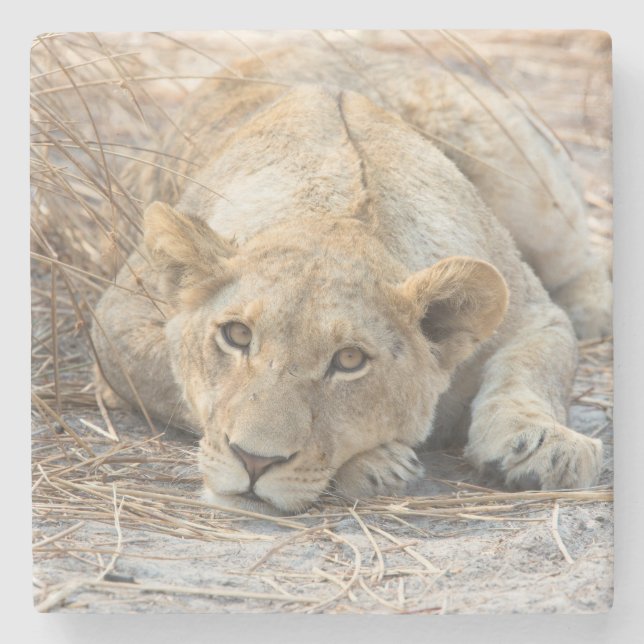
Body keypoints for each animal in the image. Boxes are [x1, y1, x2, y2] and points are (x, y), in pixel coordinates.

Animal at [91, 45, 611, 515]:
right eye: (236, 335)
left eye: (349, 360)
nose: (254, 461)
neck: (336, 209)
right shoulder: (116, 319)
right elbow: (174, 381)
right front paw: (378, 463)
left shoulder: (533, 314)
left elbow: (534, 369)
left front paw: (546, 446)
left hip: (526, 182)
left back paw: (597, 313)